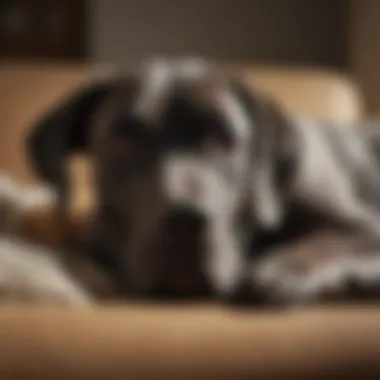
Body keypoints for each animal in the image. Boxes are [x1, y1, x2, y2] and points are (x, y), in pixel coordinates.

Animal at [26, 59, 380, 308]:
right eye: (123, 142)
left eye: (224, 140)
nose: (186, 222)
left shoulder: (364, 227)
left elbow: (328, 242)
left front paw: (277, 272)